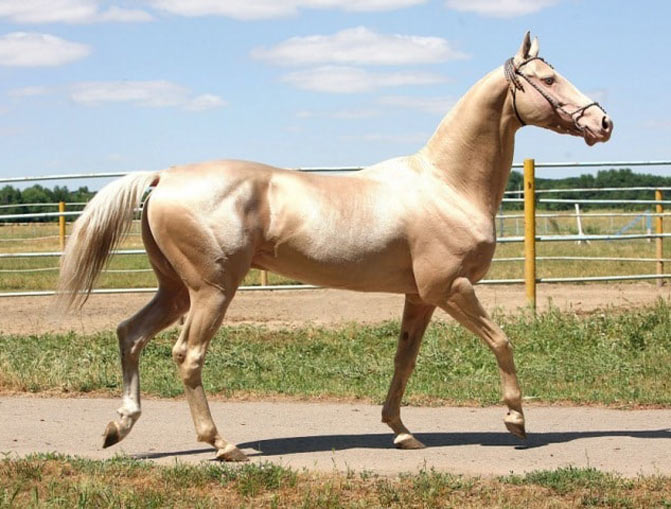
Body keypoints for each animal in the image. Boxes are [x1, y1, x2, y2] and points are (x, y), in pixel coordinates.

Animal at [58, 32, 613, 461]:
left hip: (174, 290)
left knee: (129, 335)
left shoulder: (420, 297)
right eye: (547, 79)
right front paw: (516, 421)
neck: (447, 185)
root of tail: (164, 176)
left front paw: (402, 432)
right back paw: (223, 445)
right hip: (211, 291)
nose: (602, 122)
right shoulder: (451, 288)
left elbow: (404, 361)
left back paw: (118, 427)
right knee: (187, 355)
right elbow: (501, 342)